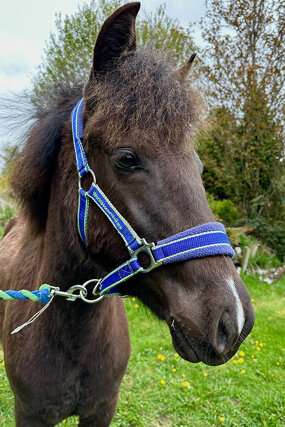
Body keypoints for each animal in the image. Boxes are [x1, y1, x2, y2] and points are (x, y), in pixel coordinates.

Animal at [0, 4, 253, 427]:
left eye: (199, 165)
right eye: (126, 159)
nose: (233, 321)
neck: (74, 335)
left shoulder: (103, 409)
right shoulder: (30, 414)